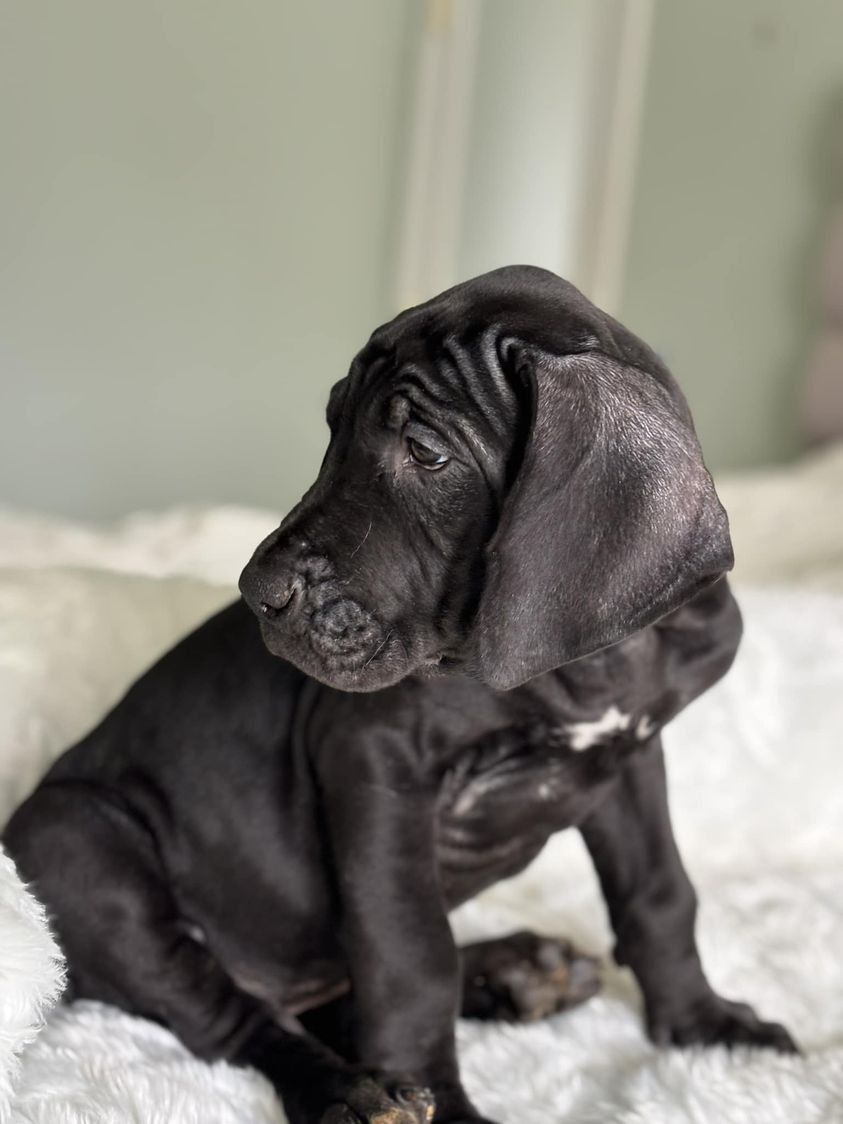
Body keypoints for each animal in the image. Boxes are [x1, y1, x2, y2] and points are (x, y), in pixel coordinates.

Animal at [3, 266, 795, 1123]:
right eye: (332, 428)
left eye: (424, 451)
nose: (258, 593)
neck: (588, 667)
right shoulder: (377, 762)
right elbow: (413, 957)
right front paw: (442, 1104)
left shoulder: (628, 756)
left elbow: (659, 893)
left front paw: (703, 1025)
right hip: (76, 844)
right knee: (236, 1019)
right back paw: (354, 1086)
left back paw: (516, 972)